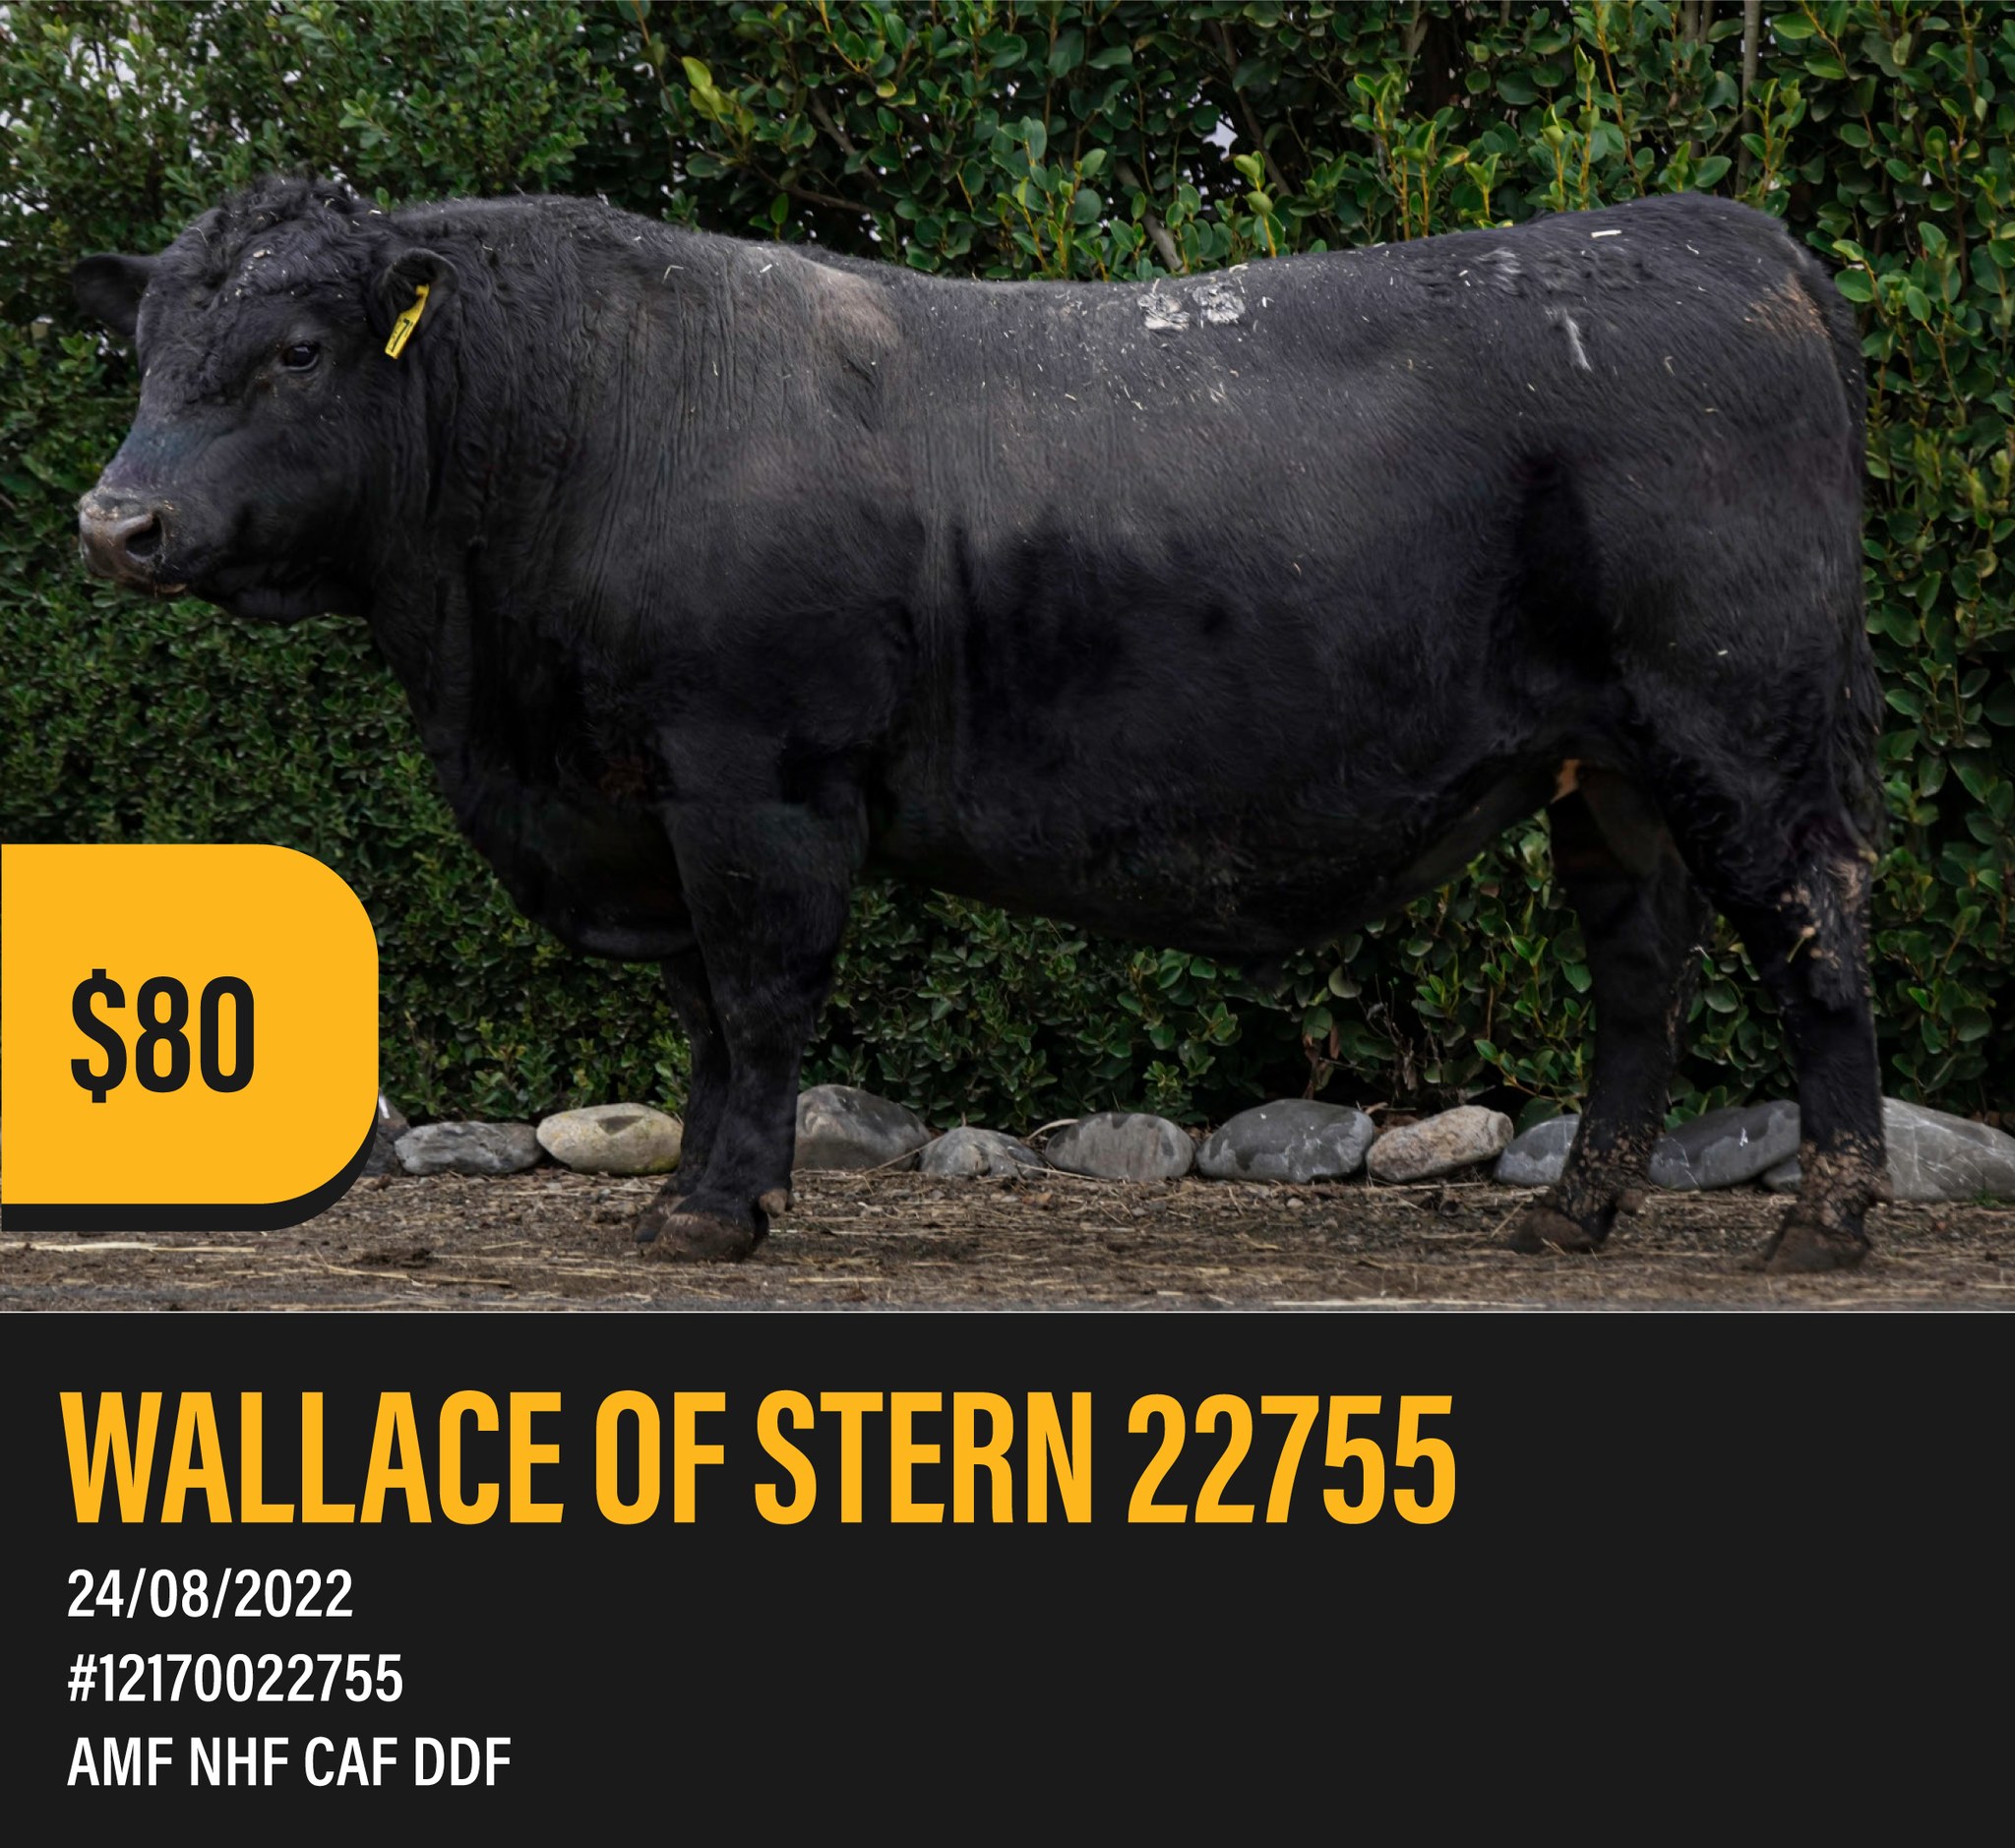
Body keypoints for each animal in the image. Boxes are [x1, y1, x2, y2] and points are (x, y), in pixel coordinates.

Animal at [73, 176, 1886, 1274]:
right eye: (147, 348)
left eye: (299, 349)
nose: (114, 522)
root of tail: (1718, 235)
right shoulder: (656, 800)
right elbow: (708, 1013)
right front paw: (714, 1189)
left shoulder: (754, 779)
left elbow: (757, 993)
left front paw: (714, 1212)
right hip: (1607, 767)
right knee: (1641, 970)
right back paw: (1572, 1216)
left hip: (1739, 727)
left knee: (1814, 935)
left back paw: (1828, 1221)